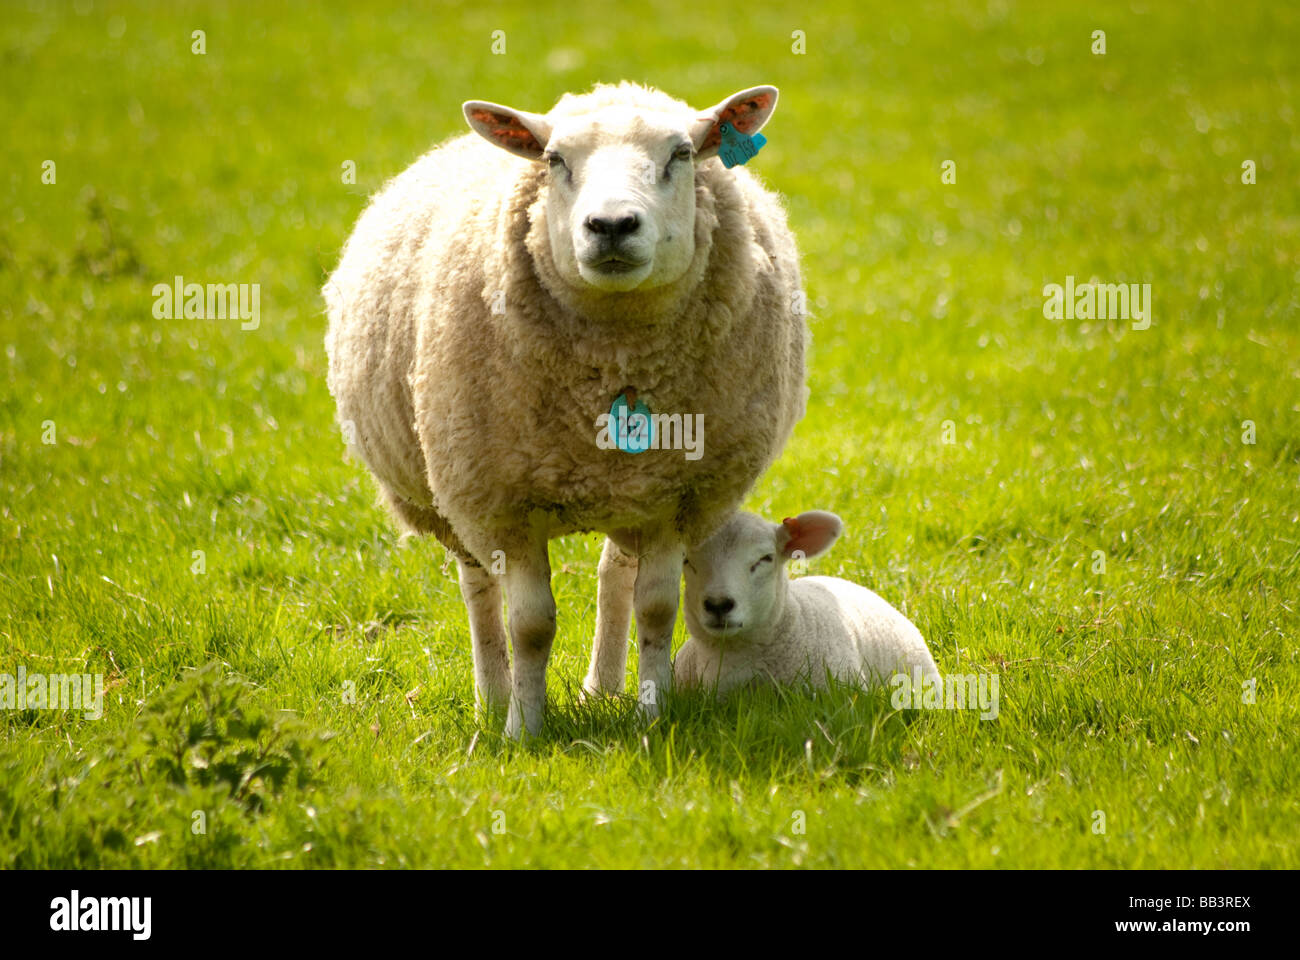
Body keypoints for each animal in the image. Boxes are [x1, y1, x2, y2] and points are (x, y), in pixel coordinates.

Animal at [323, 83, 806, 738]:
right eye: (554, 160)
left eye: (681, 154)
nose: (611, 225)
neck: (617, 358)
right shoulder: (503, 503)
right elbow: (530, 623)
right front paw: (524, 729)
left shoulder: (677, 496)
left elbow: (656, 608)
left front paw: (652, 717)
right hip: (454, 493)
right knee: (478, 588)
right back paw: (493, 698)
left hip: (631, 493)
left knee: (614, 577)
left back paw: (601, 688)